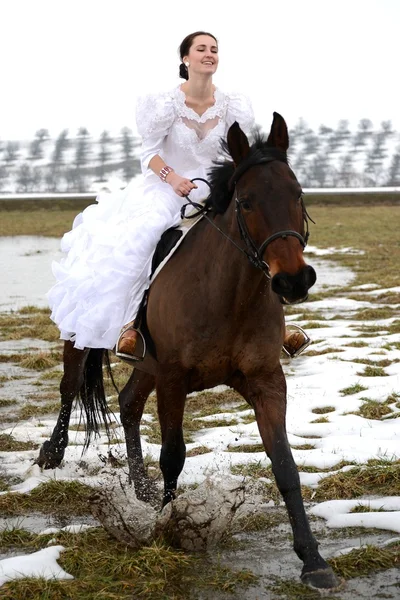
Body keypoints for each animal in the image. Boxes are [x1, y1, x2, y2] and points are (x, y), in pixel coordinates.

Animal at [36, 115, 338, 588]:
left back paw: (141, 487)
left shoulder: (266, 379)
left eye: (298, 194)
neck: (228, 295)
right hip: (82, 335)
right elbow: (173, 455)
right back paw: (53, 452)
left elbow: (285, 464)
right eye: (246, 202)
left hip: (148, 363)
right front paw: (165, 526)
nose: (293, 280)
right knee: (70, 386)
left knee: (128, 403)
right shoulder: (174, 378)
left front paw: (313, 559)